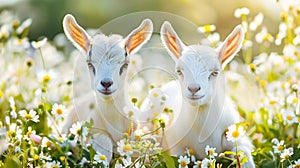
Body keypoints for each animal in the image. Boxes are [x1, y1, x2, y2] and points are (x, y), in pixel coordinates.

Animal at [161, 21, 254, 167]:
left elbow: (243, 153)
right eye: (179, 71)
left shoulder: (236, 137)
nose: (193, 88)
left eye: (215, 72)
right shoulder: (176, 146)